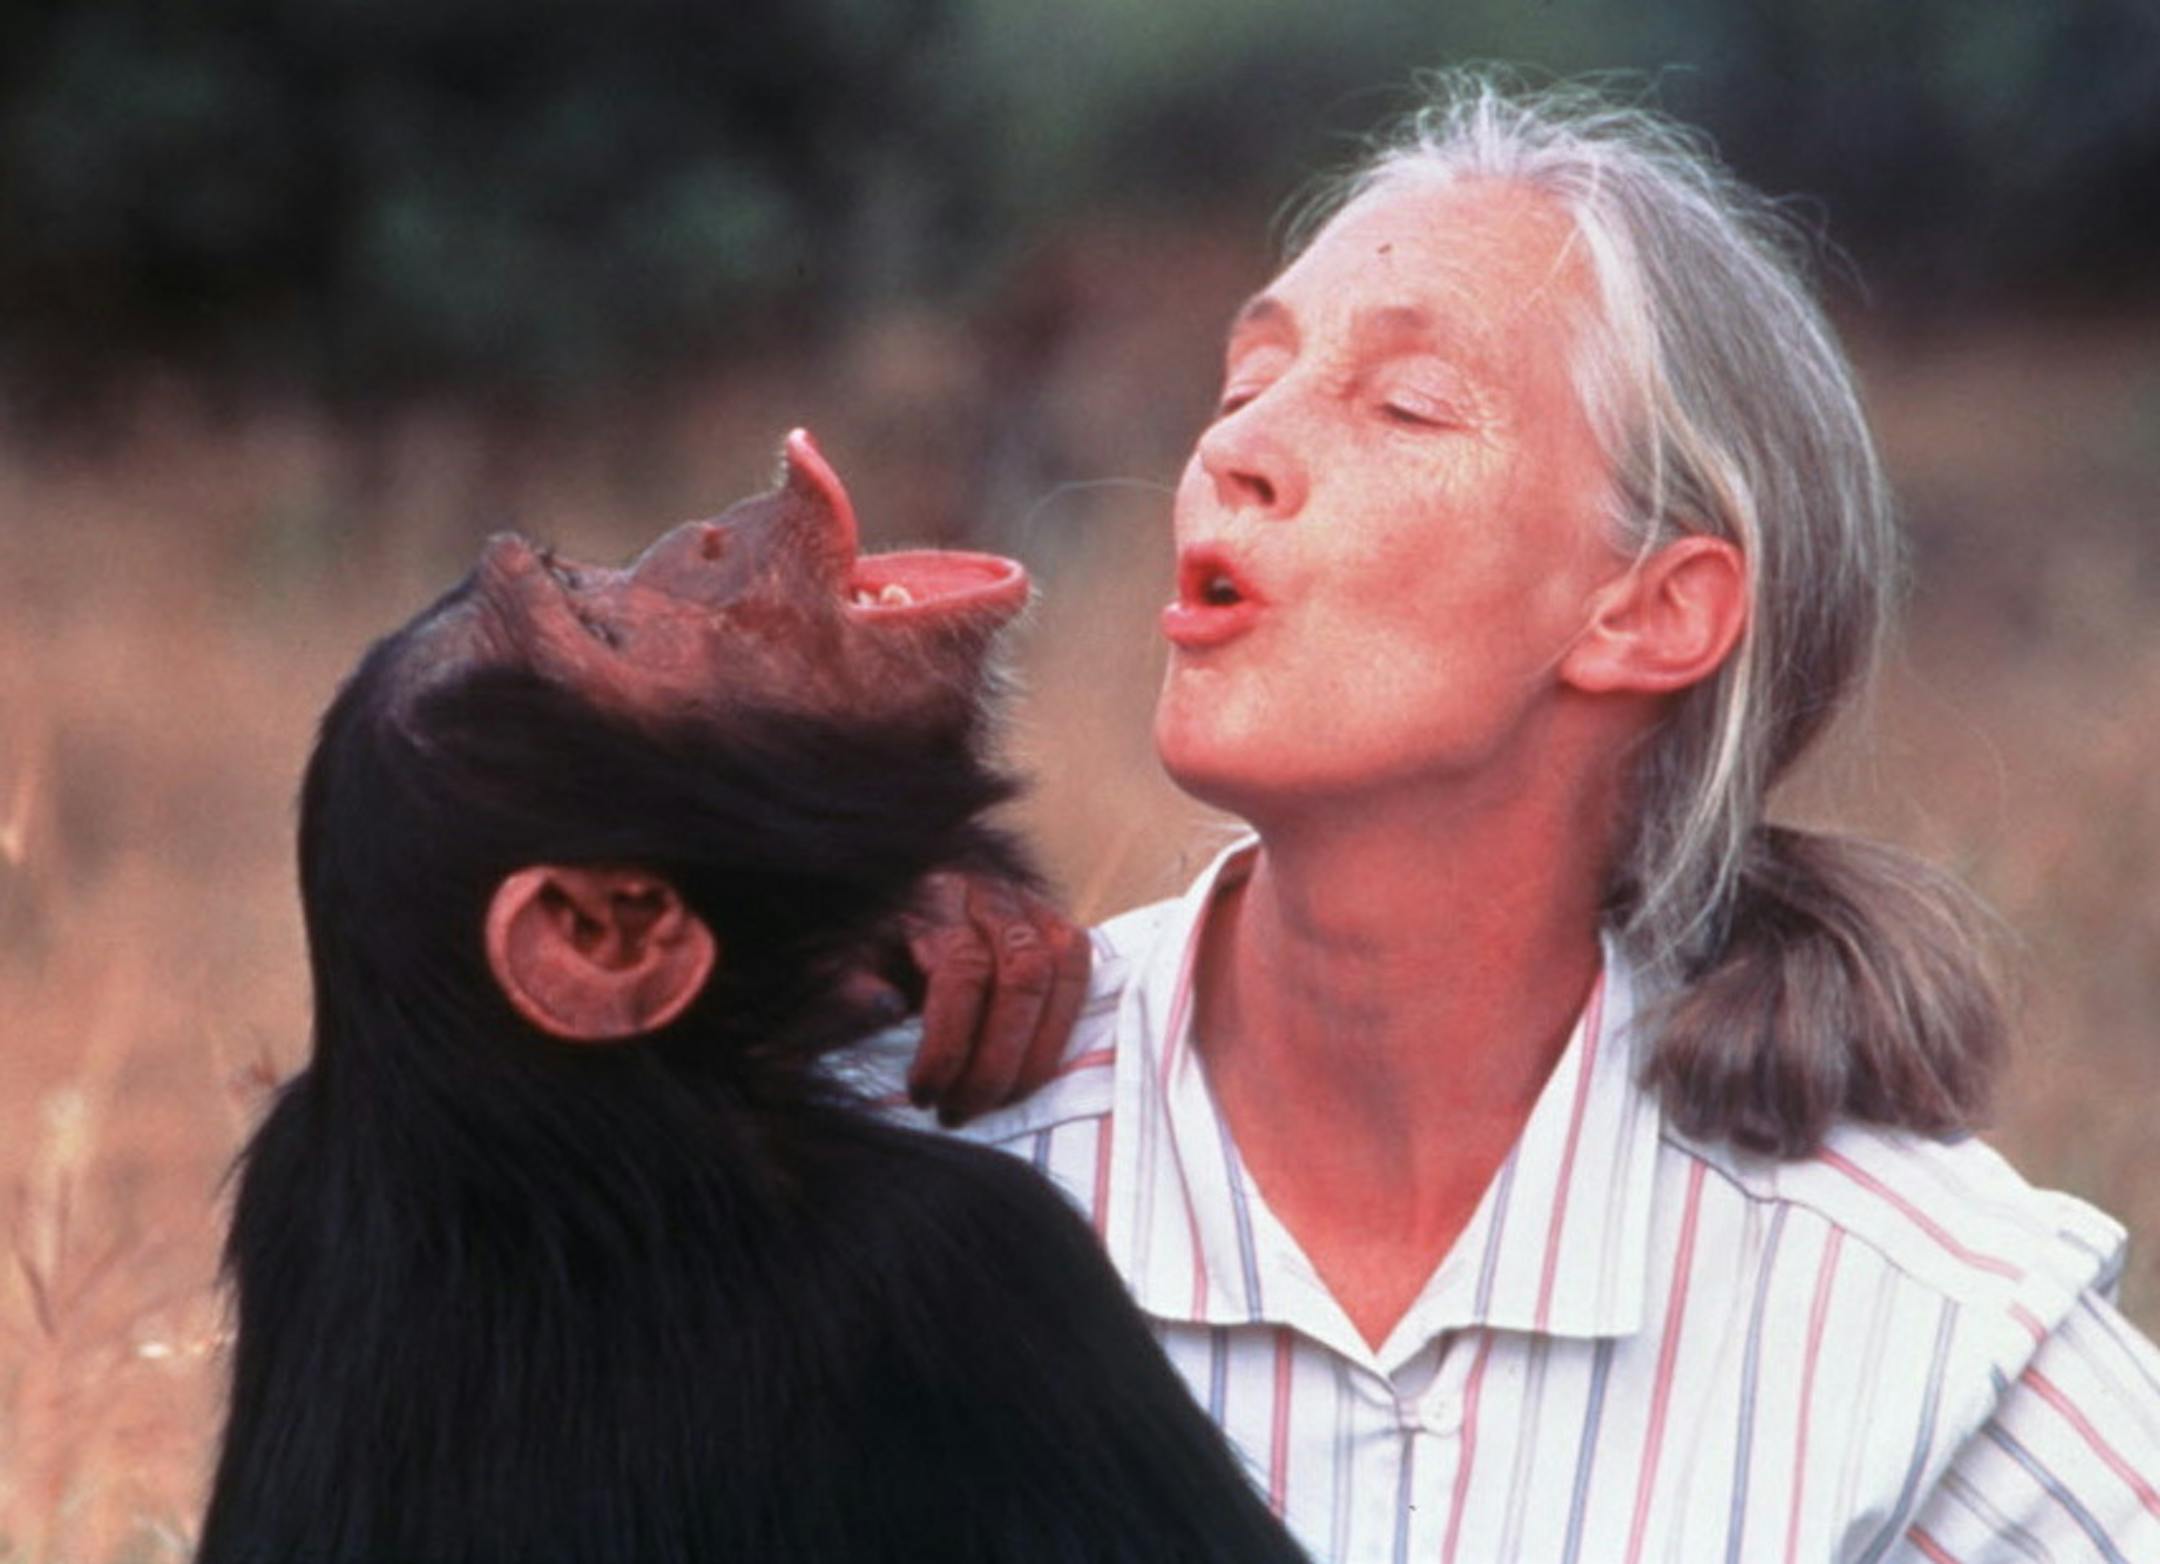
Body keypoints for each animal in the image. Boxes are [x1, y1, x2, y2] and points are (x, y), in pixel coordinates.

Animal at [198, 430, 1306, 1563]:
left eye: (569, 581)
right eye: (604, 635)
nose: (703, 538)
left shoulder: (291, 1166)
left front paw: (961, 919)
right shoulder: (971, 1256)